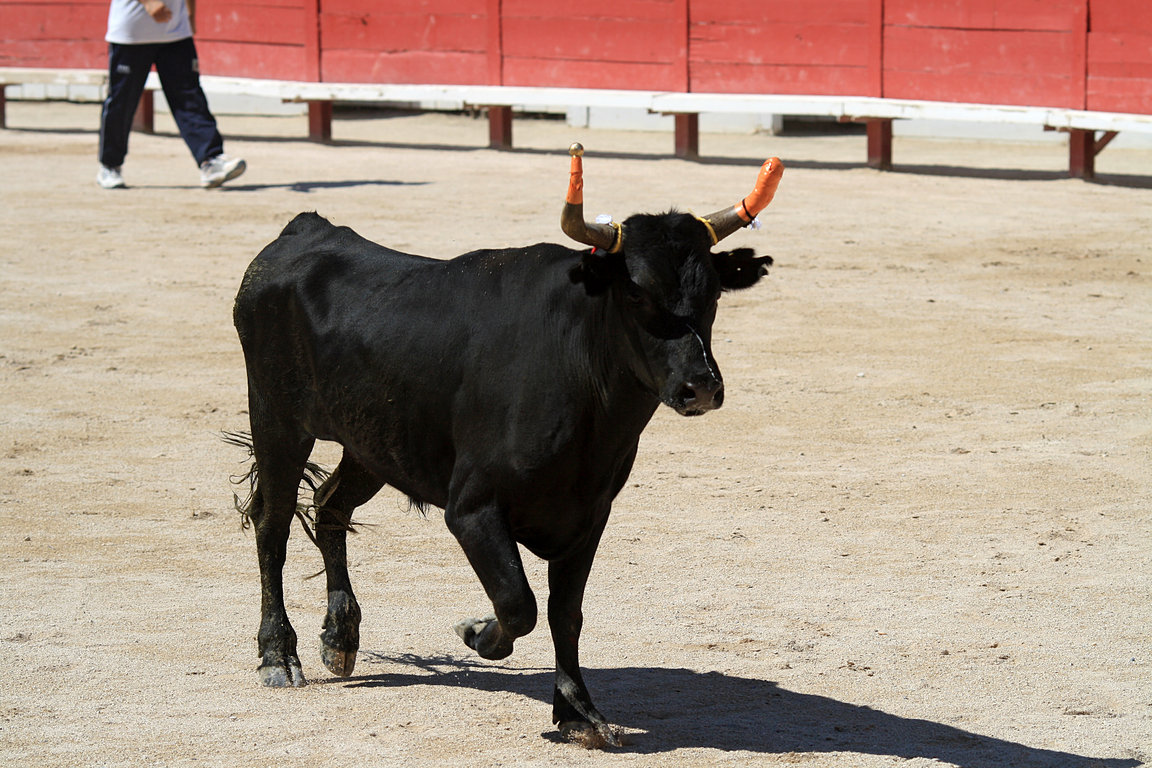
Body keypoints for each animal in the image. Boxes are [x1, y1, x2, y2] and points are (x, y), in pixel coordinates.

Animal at [232, 202, 774, 746]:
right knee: (273, 524)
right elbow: (518, 602)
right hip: (277, 420)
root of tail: (306, 228)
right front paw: (477, 633)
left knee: (330, 506)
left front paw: (578, 711)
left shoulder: (591, 514)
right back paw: (278, 655)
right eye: (636, 291)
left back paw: (339, 639)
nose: (700, 386)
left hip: (372, 443)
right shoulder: (473, 509)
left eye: (712, 292)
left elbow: (565, 613)